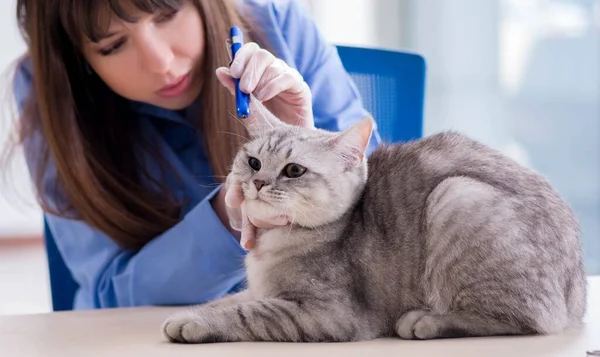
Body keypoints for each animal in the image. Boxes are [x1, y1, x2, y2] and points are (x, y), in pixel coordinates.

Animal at [161, 107, 584, 344]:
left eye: (294, 170)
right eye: (253, 162)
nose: (259, 182)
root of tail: (577, 295)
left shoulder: (327, 313)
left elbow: (246, 313)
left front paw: (192, 322)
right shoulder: (258, 290)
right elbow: (229, 301)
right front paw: (194, 311)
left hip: (456, 195)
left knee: (526, 321)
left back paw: (425, 322)